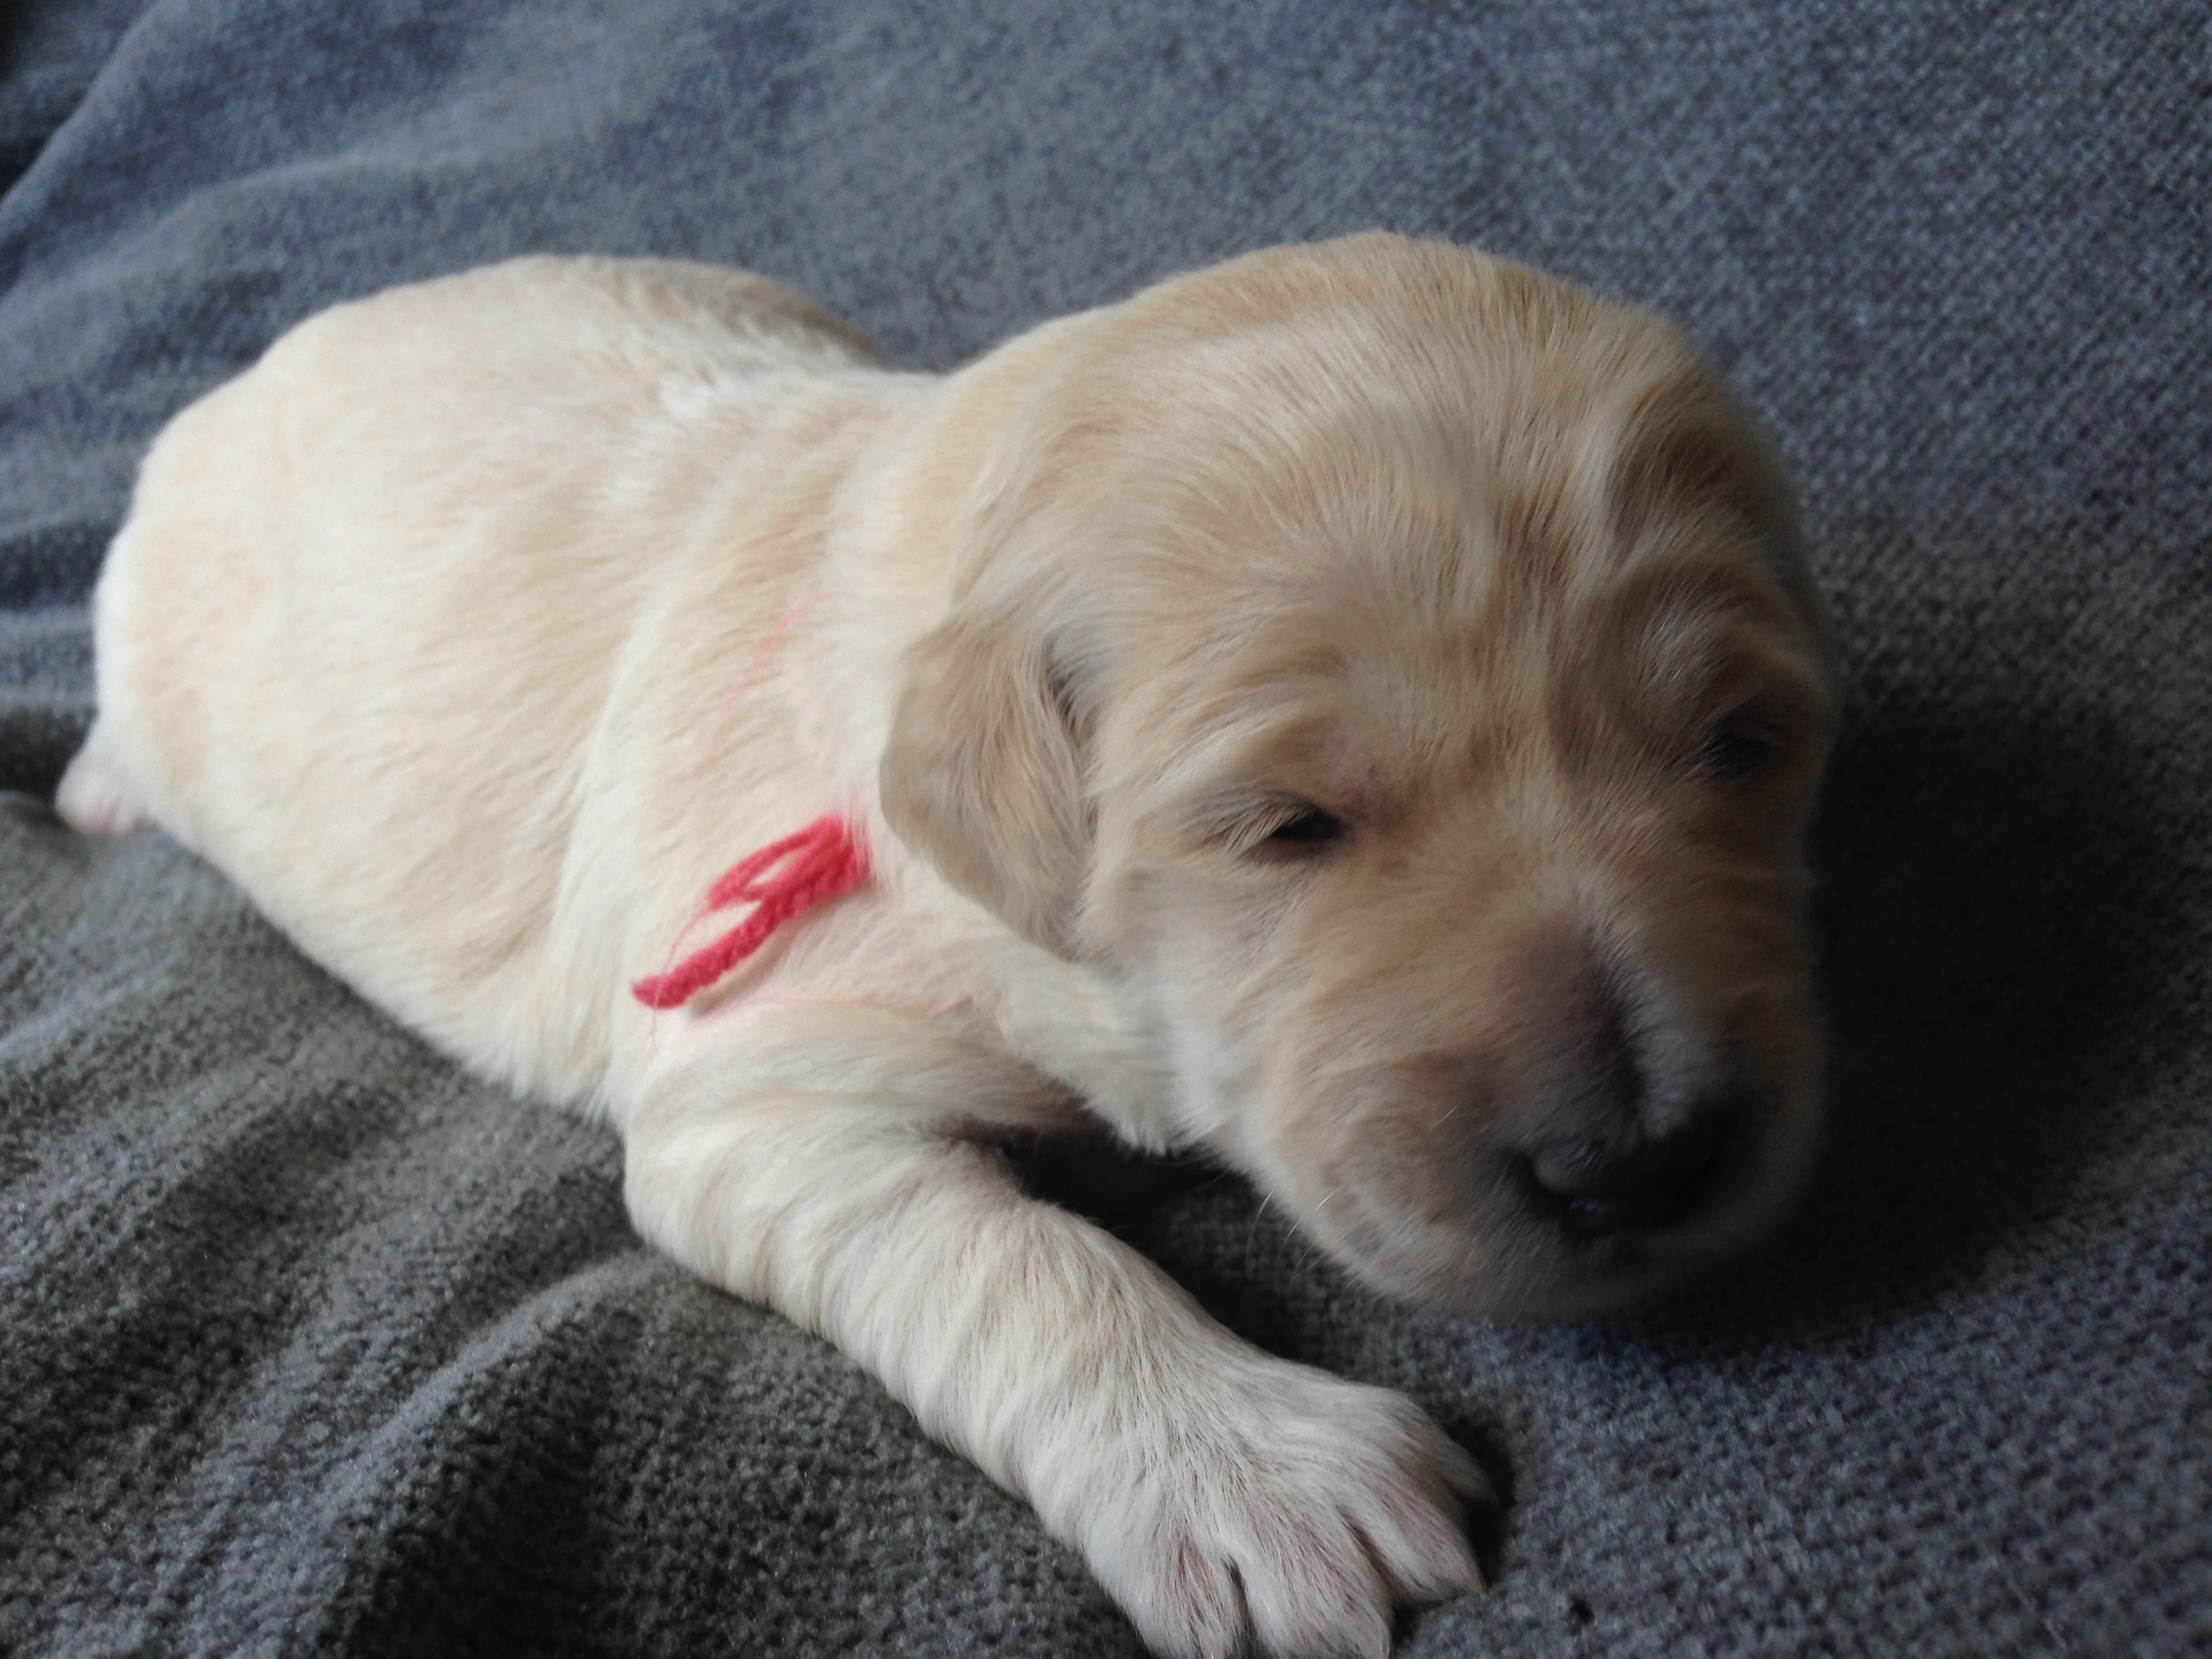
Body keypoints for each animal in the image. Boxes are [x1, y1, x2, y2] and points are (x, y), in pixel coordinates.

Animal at [58, 234, 1838, 1658]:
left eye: (1742, 744)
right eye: (1286, 824)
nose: (1641, 1163)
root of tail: (274, 351)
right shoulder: (768, 1088)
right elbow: (1031, 1260)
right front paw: (1265, 1478)